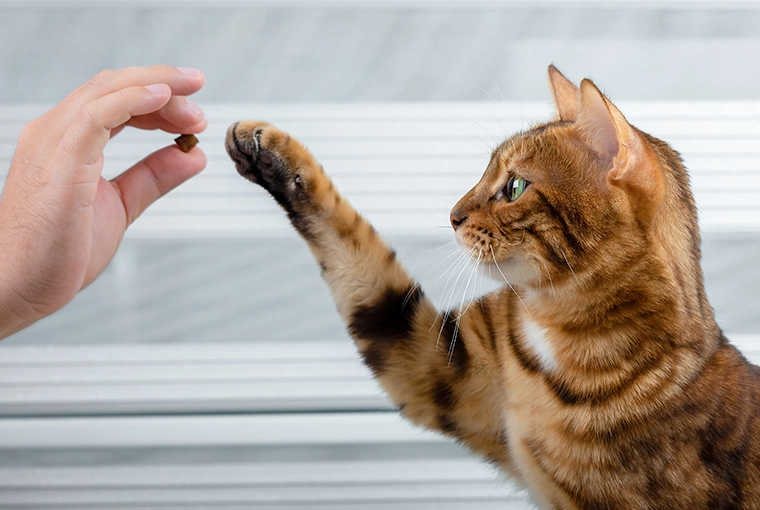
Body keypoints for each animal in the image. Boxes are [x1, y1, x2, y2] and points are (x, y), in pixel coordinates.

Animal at [224, 65, 760, 508]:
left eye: (515, 187)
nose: (453, 215)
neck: (554, 334)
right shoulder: (437, 362)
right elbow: (357, 255)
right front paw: (268, 151)